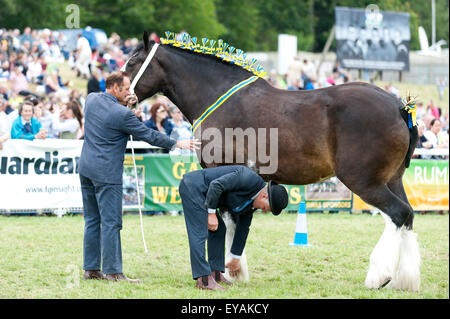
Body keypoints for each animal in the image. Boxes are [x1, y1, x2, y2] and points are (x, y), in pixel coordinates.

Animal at [123, 32, 422, 292]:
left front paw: (231, 271)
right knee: (407, 215)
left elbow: (227, 221)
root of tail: (400, 107)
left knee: (397, 214)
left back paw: (379, 276)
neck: (217, 96)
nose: (120, 92)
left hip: (364, 181)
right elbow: (234, 222)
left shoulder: (222, 170)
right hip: (392, 180)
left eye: (133, 62)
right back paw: (404, 280)